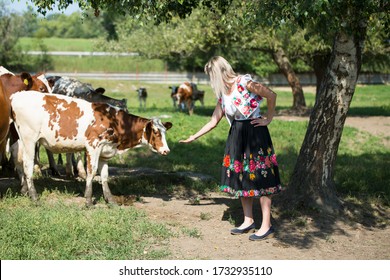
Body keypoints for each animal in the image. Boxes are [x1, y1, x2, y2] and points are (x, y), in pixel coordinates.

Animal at [11, 91, 172, 205]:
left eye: (165, 131)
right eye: (156, 132)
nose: (166, 151)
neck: (114, 121)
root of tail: (16, 96)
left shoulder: (105, 151)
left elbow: (105, 175)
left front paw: (110, 199)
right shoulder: (93, 147)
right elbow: (92, 172)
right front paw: (88, 199)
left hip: (22, 140)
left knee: (20, 162)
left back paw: (24, 189)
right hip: (29, 140)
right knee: (27, 165)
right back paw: (34, 196)